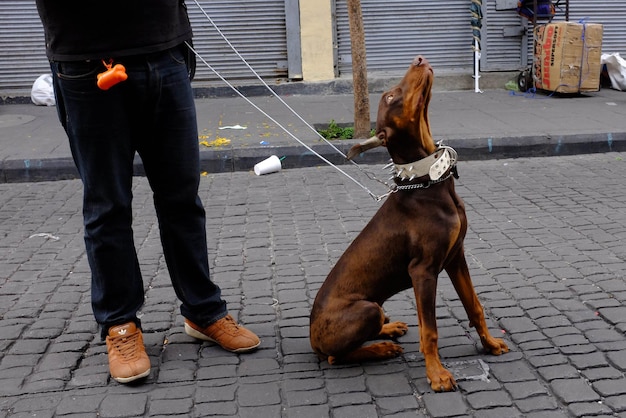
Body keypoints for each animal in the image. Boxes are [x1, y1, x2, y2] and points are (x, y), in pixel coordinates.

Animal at [308, 54, 508, 392]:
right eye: (390, 97)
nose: (419, 59)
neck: (428, 180)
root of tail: (310, 337)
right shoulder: (422, 271)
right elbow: (430, 330)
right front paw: (437, 375)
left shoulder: (456, 256)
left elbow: (475, 306)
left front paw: (490, 343)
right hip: (366, 309)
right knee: (337, 357)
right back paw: (382, 348)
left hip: (377, 307)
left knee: (375, 325)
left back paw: (389, 330)